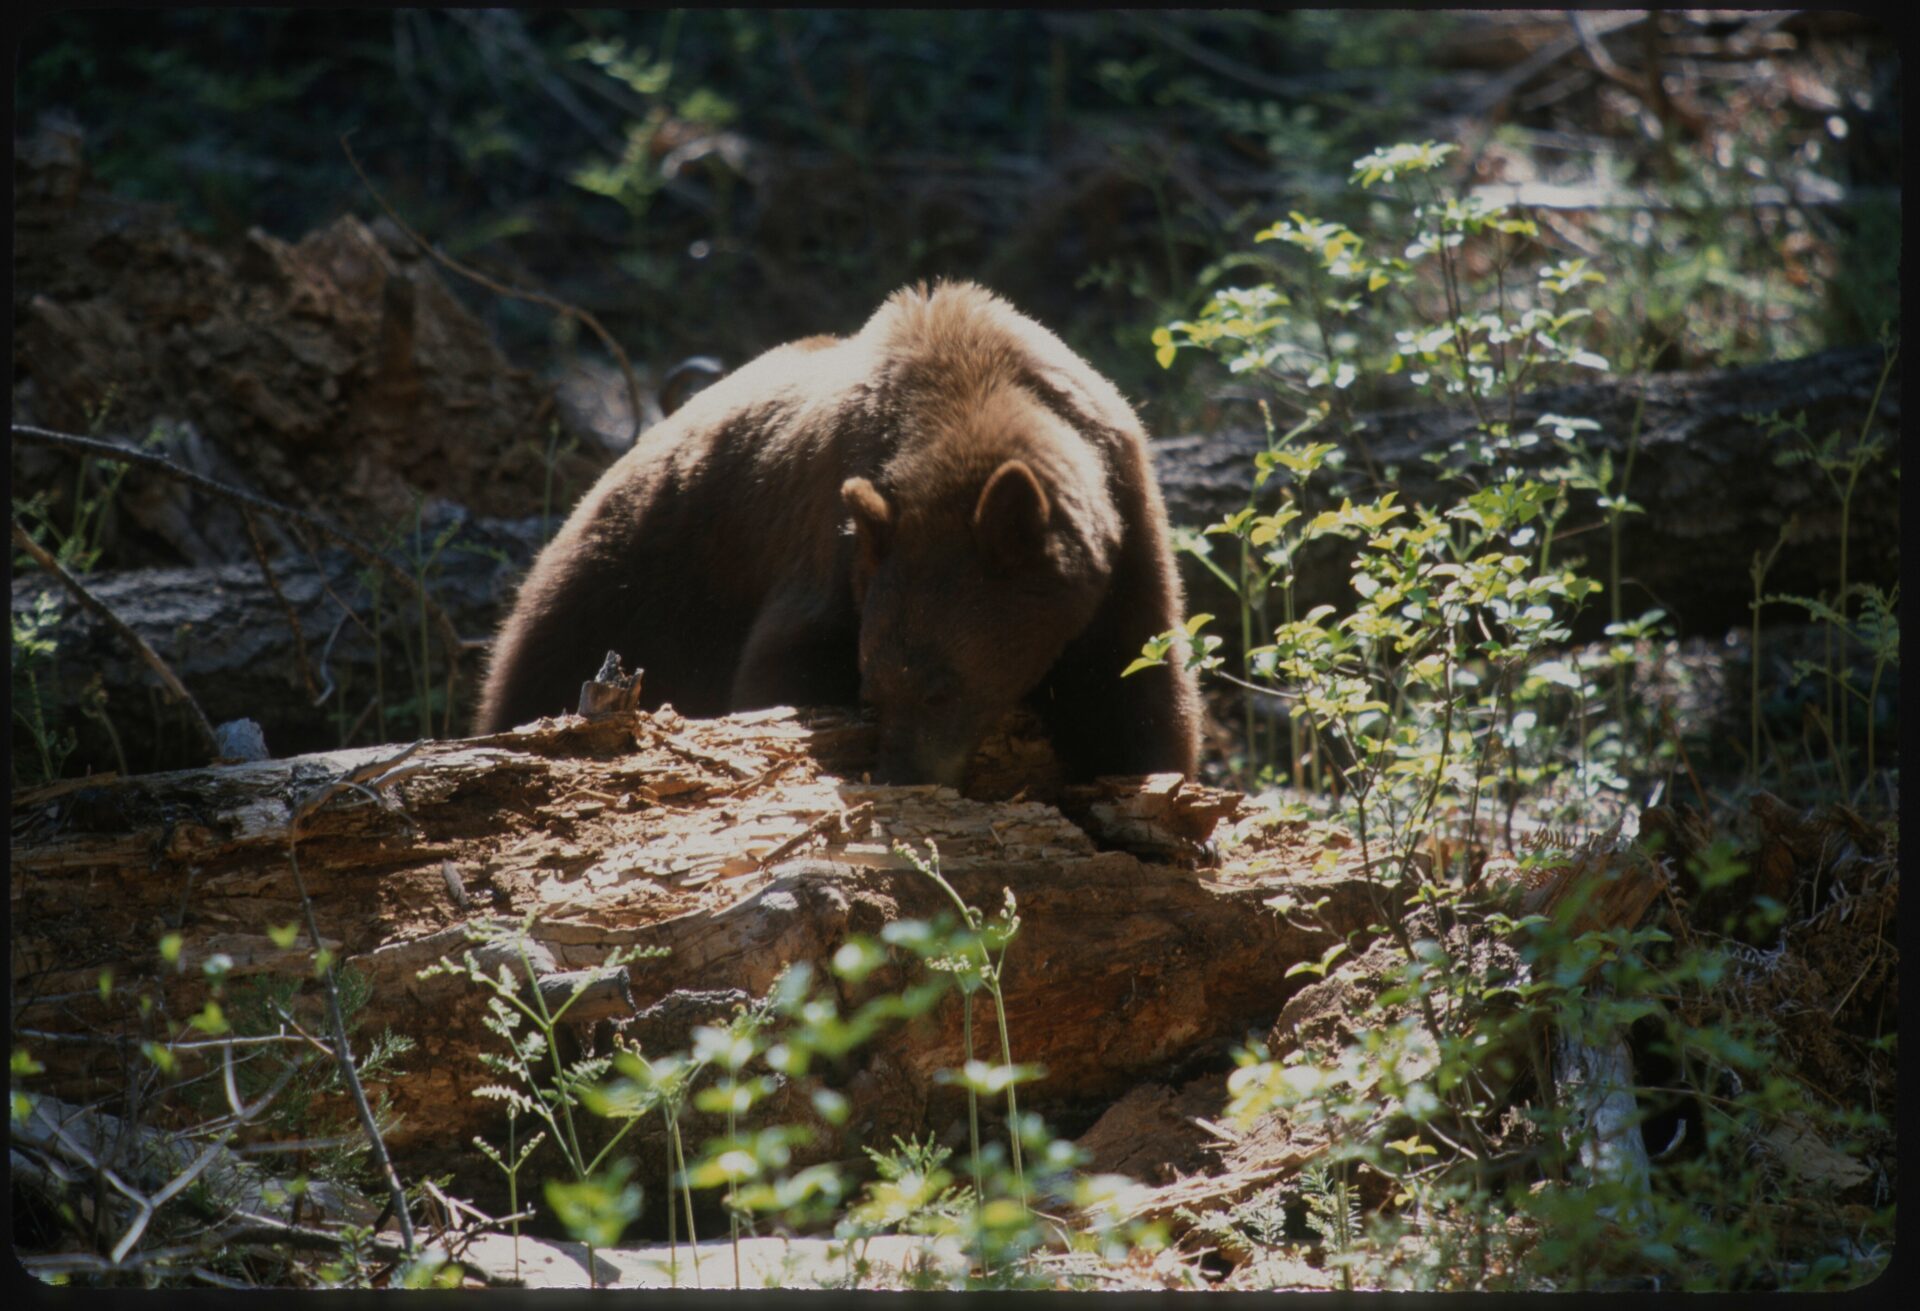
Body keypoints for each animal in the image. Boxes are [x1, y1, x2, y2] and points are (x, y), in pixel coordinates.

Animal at [475, 280, 1198, 786]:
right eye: (870, 690)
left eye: (942, 687)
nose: (905, 775)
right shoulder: (834, 549)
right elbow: (780, 669)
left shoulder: (1126, 526)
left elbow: (1140, 688)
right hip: (623, 594)